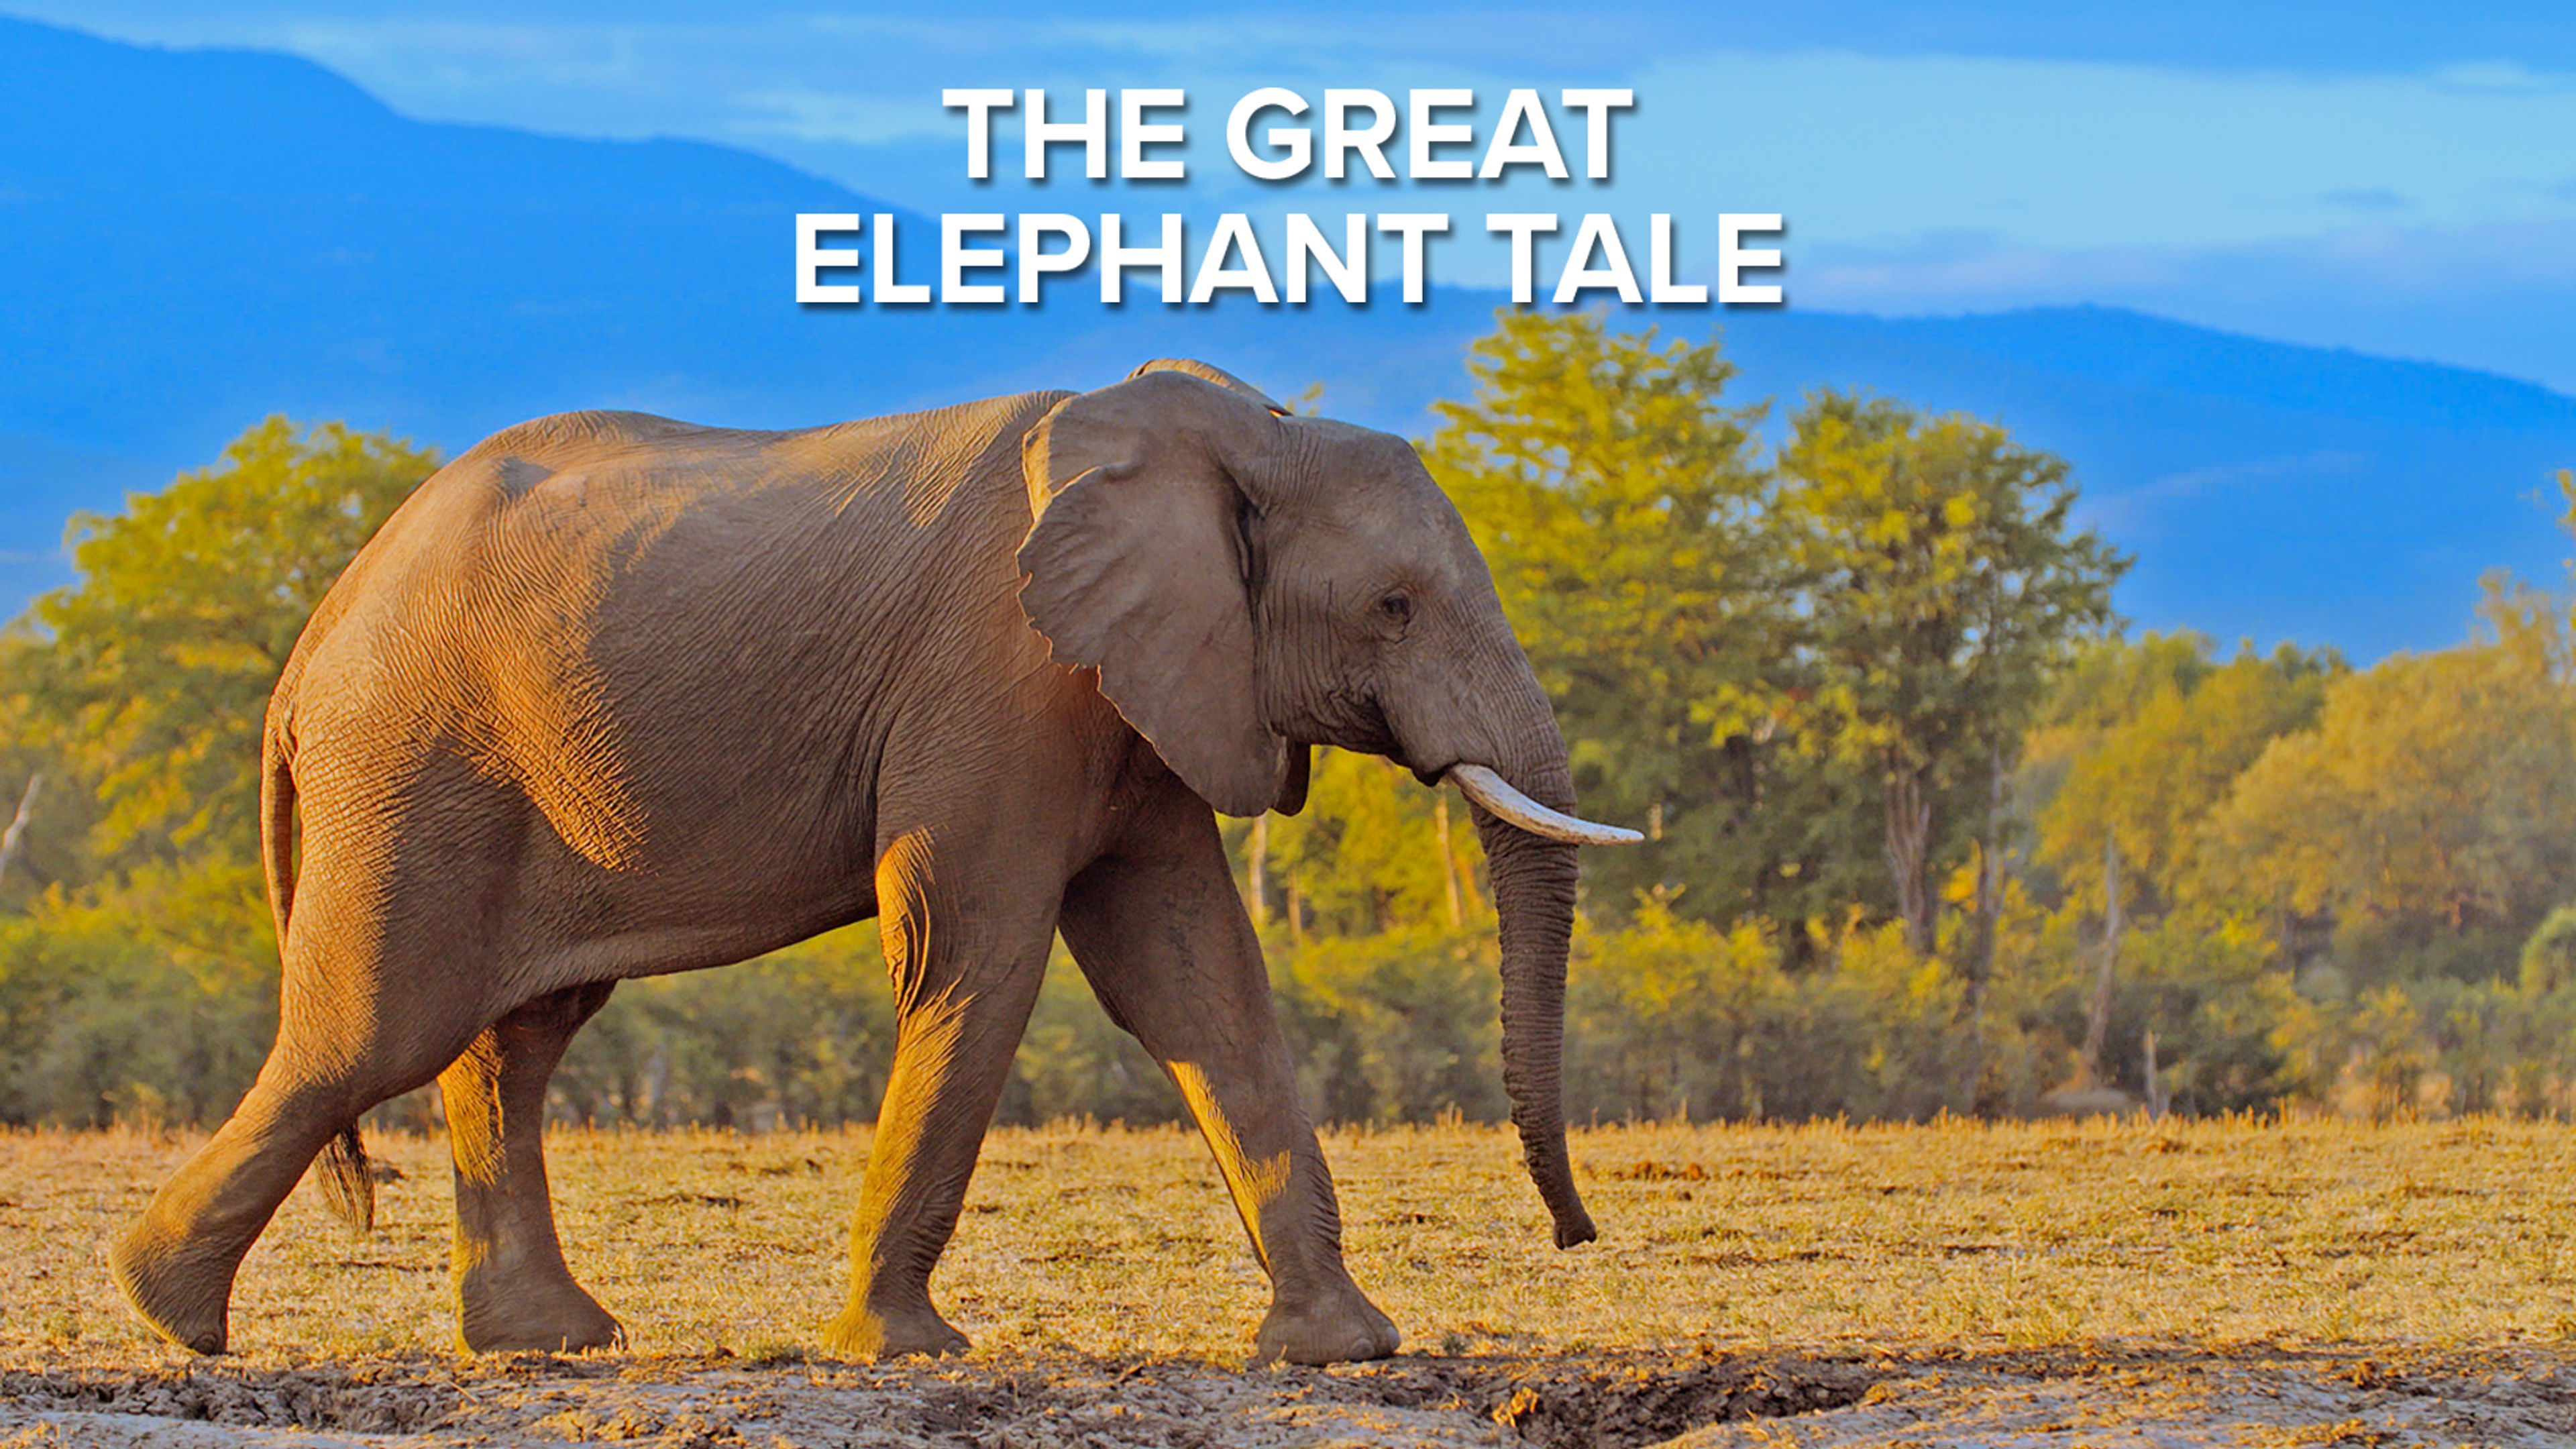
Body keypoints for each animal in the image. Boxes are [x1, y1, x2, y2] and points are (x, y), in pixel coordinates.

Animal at [109, 358, 1638, 1366]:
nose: (1579, 1240)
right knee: (375, 1029)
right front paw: (899, 1352)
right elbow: (977, 953)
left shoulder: (1136, 691)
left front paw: (1344, 1350)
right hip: (415, 764)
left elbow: (1194, 976)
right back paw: (169, 1316)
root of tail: (318, 627)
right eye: (1394, 608)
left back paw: (552, 1343)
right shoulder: (1001, 679)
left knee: (510, 1040)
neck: (1232, 431)